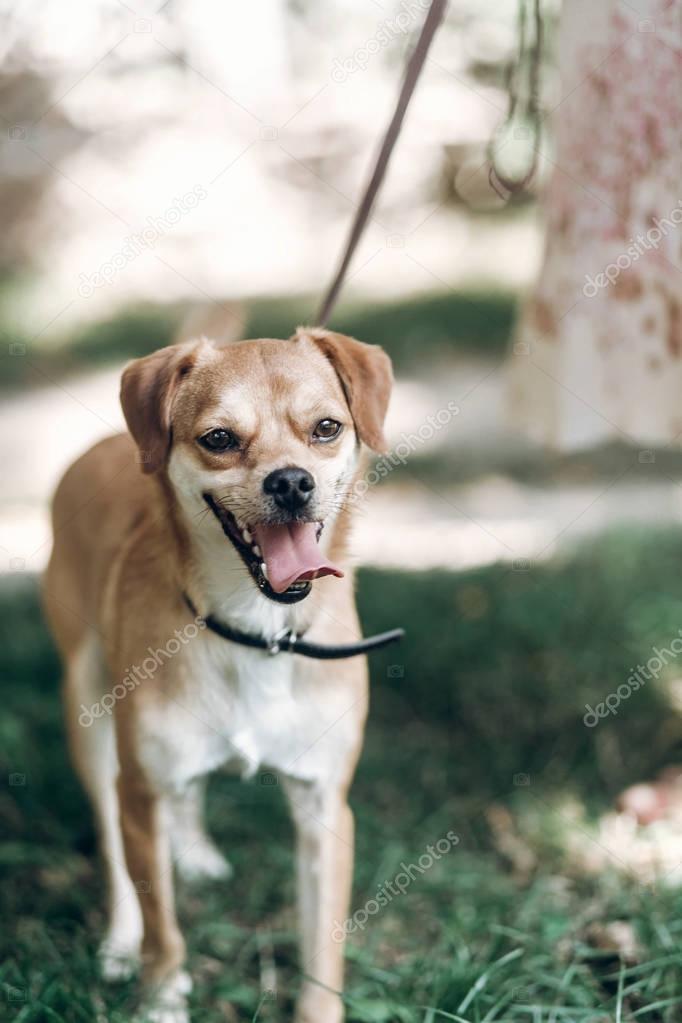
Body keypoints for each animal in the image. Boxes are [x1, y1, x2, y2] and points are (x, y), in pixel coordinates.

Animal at [42, 327, 392, 1023]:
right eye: (220, 439)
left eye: (326, 428)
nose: (291, 482)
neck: (258, 630)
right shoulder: (142, 796)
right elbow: (164, 928)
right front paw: (160, 1000)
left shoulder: (324, 808)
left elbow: (322, 946)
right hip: (89, 719)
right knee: (115, 852)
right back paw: (119, 942)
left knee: (191, 795)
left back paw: (196, 850)